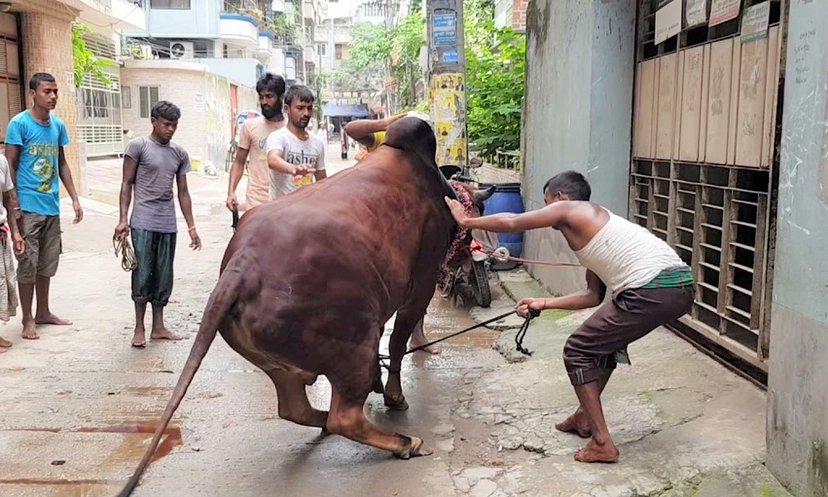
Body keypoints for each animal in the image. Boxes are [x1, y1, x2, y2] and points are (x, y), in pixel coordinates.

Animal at [115, 117, 466, 496]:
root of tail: (242, 267)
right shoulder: (422, 284)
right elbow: (400, 343)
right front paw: (395, 397)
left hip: (276, 362)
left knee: (294, 408)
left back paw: (330, 424)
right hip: (356, 342)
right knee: (345, 416)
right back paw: (405, 442)